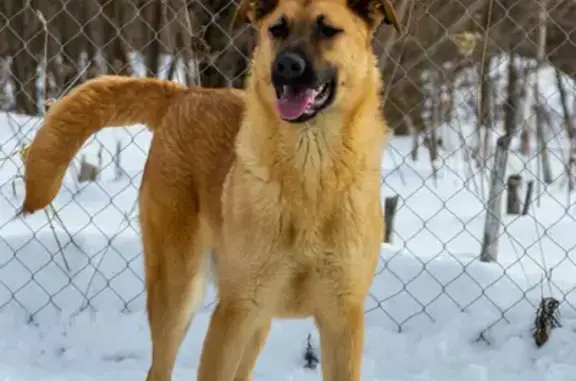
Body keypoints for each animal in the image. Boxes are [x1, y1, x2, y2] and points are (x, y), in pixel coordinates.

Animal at [22, 0, 400, 378]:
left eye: (327, 30)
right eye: (277, 29)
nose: (286, 66)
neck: (309, 173)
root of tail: (186, 93)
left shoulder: (341, 320)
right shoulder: (235, 311)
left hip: (257, 320)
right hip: (179, 292)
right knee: (159, 367)